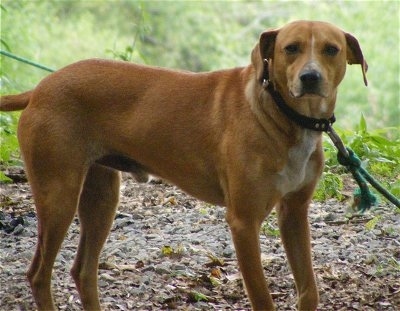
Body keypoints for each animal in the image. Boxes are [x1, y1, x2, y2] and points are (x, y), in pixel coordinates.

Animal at [0, 20, 368, 310]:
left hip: (101, 199)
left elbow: (309, 289)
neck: (284, 116)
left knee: (83, 271)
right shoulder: (243, 222)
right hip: (58, 197)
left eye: (331, 49)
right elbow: (262, 297)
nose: (310, 77)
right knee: (39, 274)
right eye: (290, 48)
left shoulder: (294, 213)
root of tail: (39, 89)